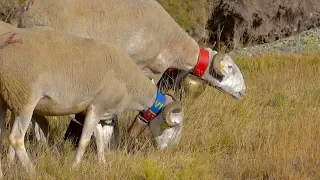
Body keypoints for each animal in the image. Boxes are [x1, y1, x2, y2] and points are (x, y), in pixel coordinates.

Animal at [0, 21, 182, 177]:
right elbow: (85, 140)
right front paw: (74, 167)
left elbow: (99, 138)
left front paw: (102, 163)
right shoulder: (98, 106)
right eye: (175, 126)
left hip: (5, 98)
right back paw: (32, 172)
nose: (170, 151)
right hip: (25, 99)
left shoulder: (95, 109)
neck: (129, 84)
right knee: (16, 139)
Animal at [17, 0, 246, 150]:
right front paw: (110, 141)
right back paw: (40, 142)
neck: (174, 44)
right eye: (230, 68)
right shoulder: (137, 67)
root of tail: (27, 8)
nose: (244, 92)